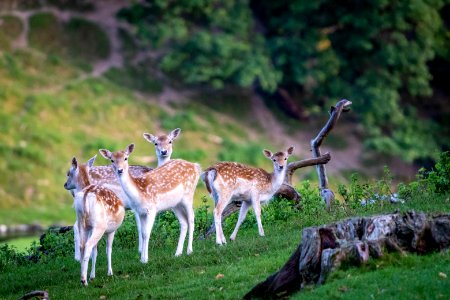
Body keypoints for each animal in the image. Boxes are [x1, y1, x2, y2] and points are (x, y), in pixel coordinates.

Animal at [62, 156, 124, 284]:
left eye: (68, 173)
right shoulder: (112, 230)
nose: (65, 184)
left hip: (82, 222)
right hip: (100, 226)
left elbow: (95, 252)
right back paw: (84, 280)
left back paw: (83, 276)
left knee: (83, 245)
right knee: (88, 245)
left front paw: (92, 275)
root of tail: (86, 194)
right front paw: (110, 272)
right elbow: (108, 249)